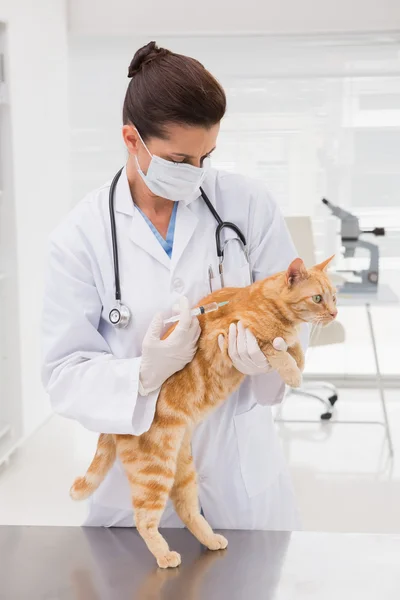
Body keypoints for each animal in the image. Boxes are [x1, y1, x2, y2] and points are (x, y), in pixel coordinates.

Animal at [70, 256, 336, 568]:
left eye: (334, 297)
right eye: (317, 298)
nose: (334, 312)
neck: (268, 304)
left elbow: (294, 348)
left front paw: (297, 360)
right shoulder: (228, 334)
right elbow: (276, 351)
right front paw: (292, 372)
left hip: (183, 470)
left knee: (187, 509)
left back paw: (210, 539)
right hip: (154, 473)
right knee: (143, 519)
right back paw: (164, 554)